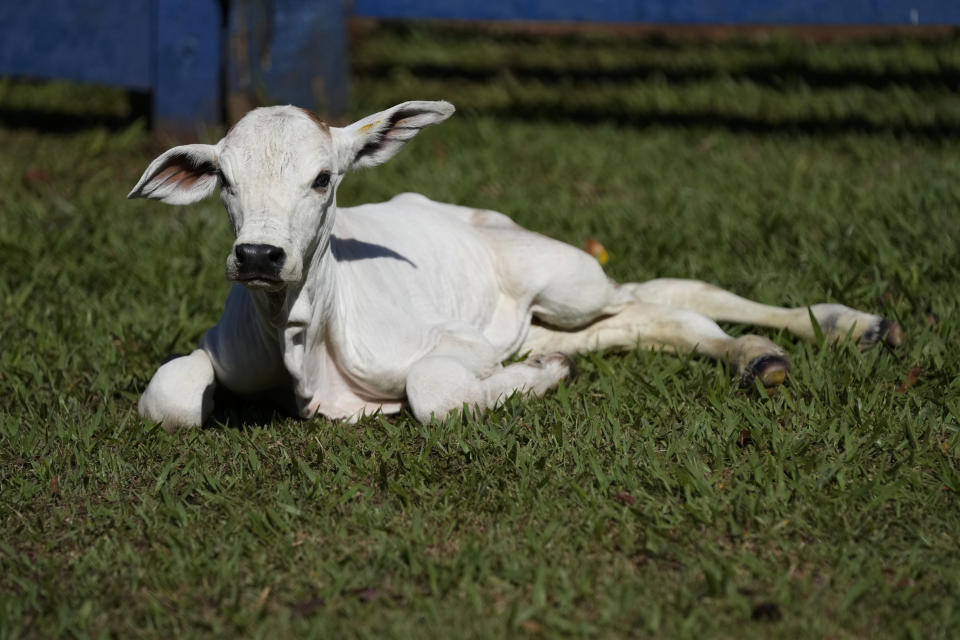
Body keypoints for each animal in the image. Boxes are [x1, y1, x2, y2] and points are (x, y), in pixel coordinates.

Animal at [129, 101, 908, 430]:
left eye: (324, 178)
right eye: (224, 181)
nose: (260, 255)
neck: (301, 338)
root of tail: (488, 218)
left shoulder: (455, 344)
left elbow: (435, 393)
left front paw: (533, 380)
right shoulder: (217, 350)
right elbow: (169, 396)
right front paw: (543, 373)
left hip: (567, 282)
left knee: (666, 294)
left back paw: (842, 328)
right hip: (551, 312)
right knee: (648, 318)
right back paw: (759, 357)